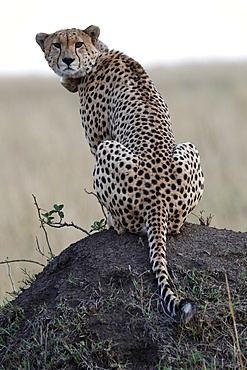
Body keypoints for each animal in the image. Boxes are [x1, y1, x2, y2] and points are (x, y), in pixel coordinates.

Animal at [35, 24, 204, 322]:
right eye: (56, 44)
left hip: (106, 149)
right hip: (189, 148)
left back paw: (112, 223)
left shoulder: (97, 140)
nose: (67, 60)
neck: (98, 56)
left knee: (126, 225)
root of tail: (158, 201)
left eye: (77, 44)